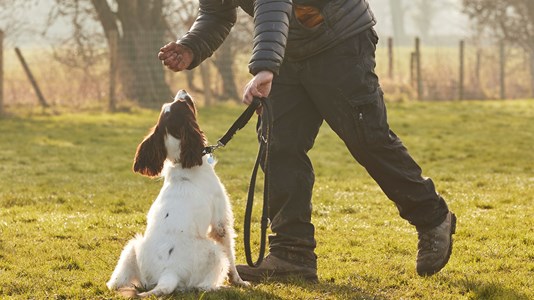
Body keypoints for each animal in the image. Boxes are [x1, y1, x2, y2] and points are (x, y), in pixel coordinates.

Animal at [107, 90, 249, 296]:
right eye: (183, 104)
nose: (182, 91)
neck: (183, 164)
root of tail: (169, 273)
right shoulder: (220, 223)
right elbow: (231, 255)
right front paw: (239, 281)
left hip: (132, 246)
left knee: (114, 283)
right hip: (214, 251)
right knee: (202, 285)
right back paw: (219, 286)